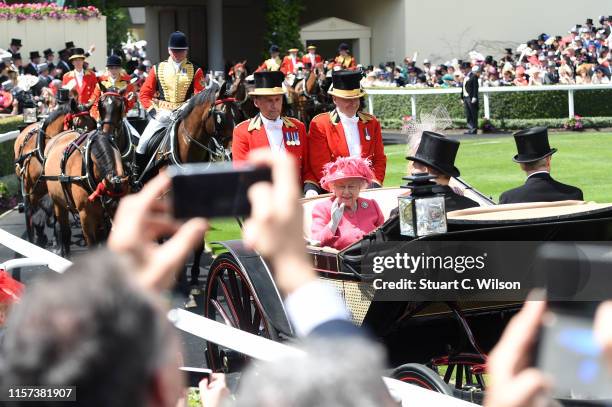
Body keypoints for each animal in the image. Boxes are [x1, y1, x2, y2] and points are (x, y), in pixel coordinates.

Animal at [13, 102, 95, 245]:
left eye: (95, 124)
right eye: (80, 125)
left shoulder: (54, 188)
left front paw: (55, 237)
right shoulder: (30, 190)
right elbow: (31, 214)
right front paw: (38, 236)